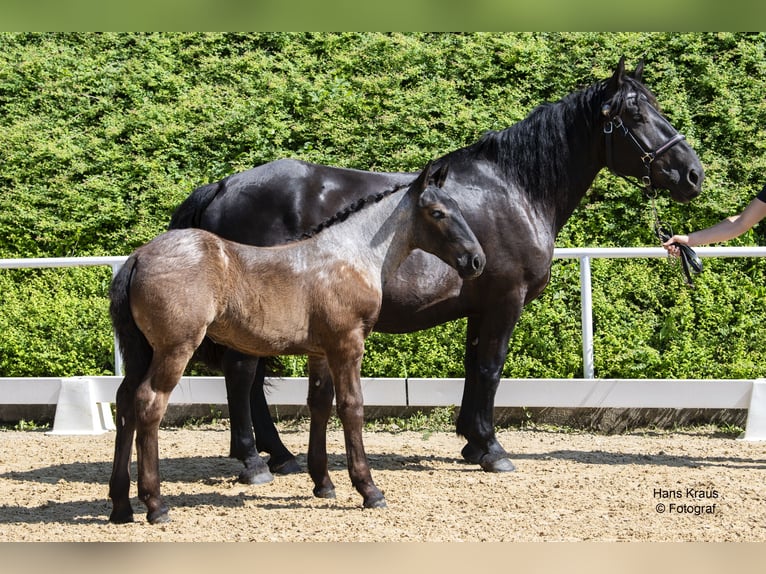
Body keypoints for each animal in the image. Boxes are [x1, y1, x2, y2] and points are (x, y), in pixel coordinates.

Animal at [170, 58, 708, 484]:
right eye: (636, 114)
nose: (693, 174)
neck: (515, 190)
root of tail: (223, 186)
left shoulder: (479, 305)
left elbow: (475, 368)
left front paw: (472, 441)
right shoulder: (504, 300)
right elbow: (491, 368)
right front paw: (492, 449)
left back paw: (280, 456)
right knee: (242, 374)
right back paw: (253, 463)